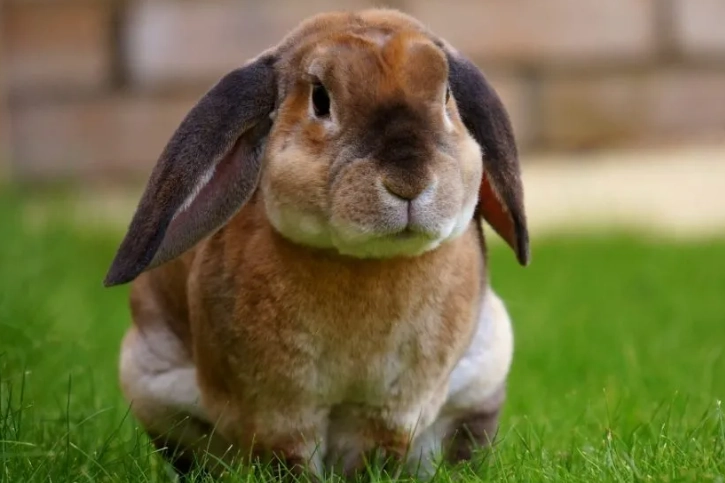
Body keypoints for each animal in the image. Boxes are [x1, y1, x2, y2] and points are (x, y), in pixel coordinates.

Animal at [104, 8, 529, 481]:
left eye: (447, 95)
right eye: (320, 100)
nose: (408, 181)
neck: (365, 262)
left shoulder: (392, 409)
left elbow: (376, 455)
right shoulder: (278, 411)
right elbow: (288, 459)